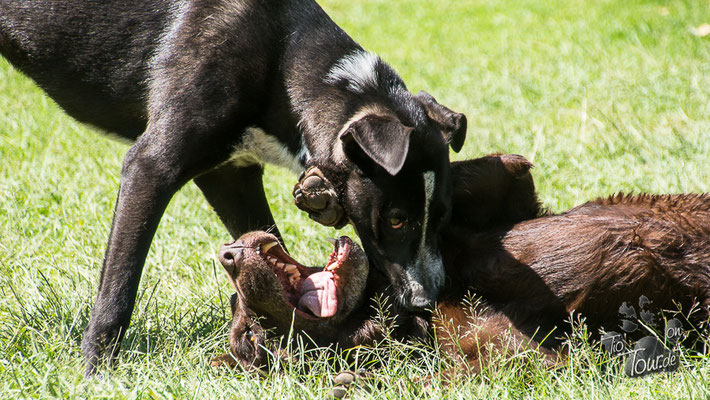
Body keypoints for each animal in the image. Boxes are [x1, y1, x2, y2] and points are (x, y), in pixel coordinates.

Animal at [0, 0, 470, 376]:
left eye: (443, 216)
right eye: (396, 221)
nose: (428, 302)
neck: (283, 61)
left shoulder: (231, 174)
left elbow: (276, 251)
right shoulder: (150, 166)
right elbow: (118, 286)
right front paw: (96, 371)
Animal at [213, 155, 710, 376]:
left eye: (242, 318)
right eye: (254, 336)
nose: (228, 255)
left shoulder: (507, 201)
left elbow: (487, 170)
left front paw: (334, 182)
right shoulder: (523, 359)